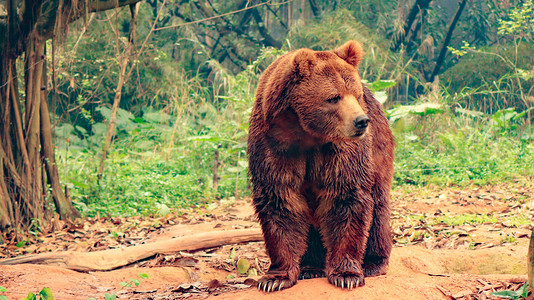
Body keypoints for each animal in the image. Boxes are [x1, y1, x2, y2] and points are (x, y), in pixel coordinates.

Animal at [249, 39, 396, 290]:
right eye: (334, 97)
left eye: (356, 95)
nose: (361, 121)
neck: (306, 133)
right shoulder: (273, 145)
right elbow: (279, 200)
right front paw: (275, 278)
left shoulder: (341, 150)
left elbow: (346, 196)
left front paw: (346, 275)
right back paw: (310, 266)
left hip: (379, 152)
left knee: (378, 209)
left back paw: (373, 262)